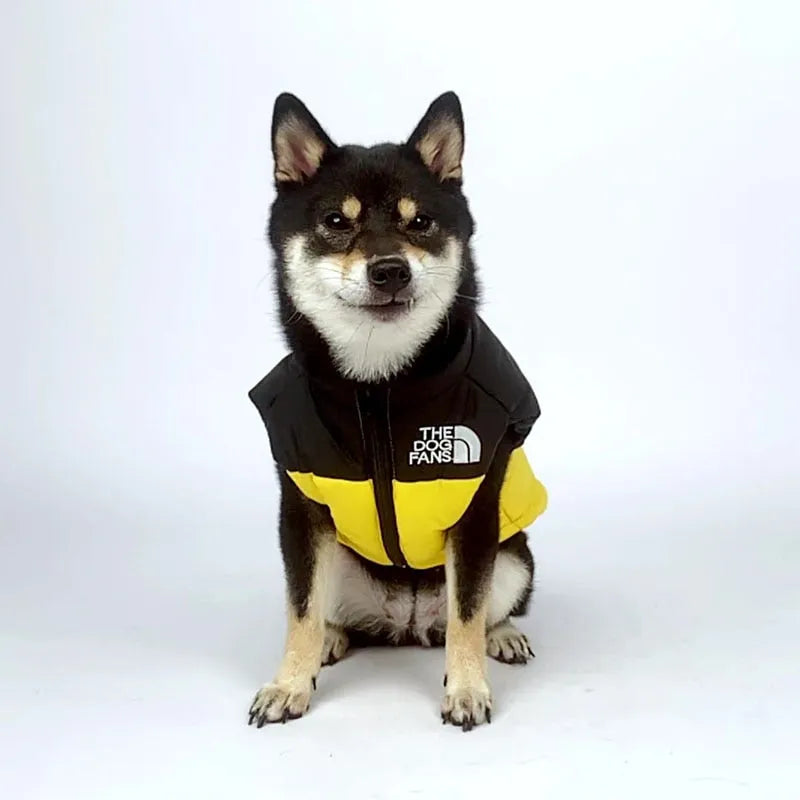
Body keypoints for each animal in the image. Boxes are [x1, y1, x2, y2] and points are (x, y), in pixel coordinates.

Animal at [248, 90, 552, 728]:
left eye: (420, 222)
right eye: (337, 221)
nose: (390, 268)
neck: (379, 384)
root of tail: (406, 623)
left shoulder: (476, 512)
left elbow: (467, 612)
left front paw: (467, 689)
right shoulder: (301, 509)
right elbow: (299, 609)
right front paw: (288, 683)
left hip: (515, 557)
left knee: (480, 611)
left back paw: (502, 635)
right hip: (340, 557)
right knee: (329, 613)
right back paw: (333, 640)